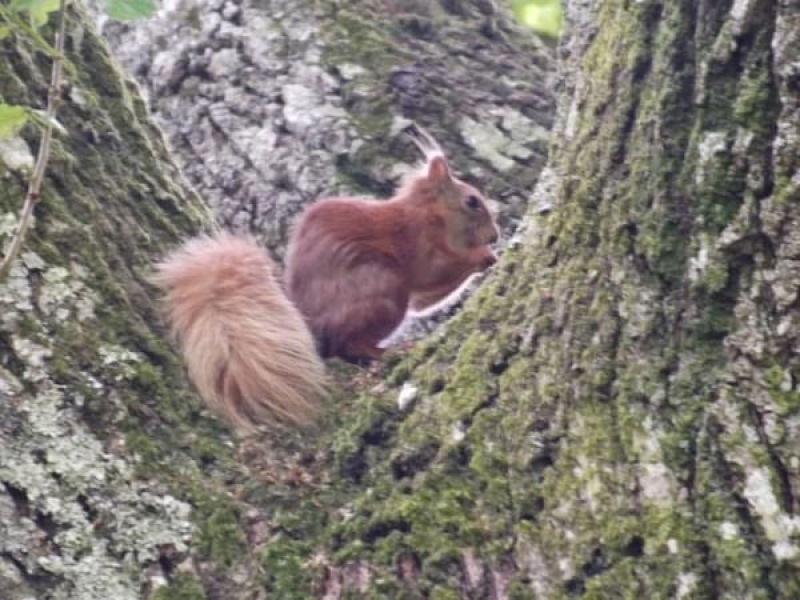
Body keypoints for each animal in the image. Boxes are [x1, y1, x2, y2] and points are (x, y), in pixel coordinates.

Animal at [154, 126, 499, 433]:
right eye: (472, 201)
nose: (495, 235)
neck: (429, 214)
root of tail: (309, 325)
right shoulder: (418, 241)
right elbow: (436, 270)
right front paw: (485, 256)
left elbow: (426, 299)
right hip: (383, 289)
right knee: (349, 345)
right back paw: (391, 350)